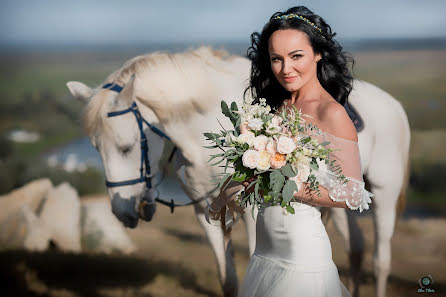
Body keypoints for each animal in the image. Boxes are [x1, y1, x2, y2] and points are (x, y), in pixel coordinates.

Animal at [67, 46, 412, 296]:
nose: (122, 212)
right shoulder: (205, 213)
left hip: (384, 192)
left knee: (380, 261)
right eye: (95, 148)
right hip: (343, 198)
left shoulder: (252, 212)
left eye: (126, 147)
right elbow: (229, 281)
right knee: (356, 249)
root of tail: (394, 106)